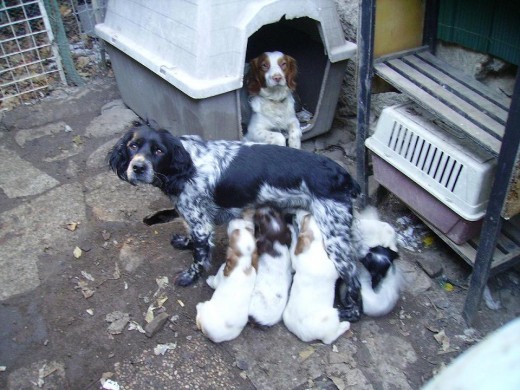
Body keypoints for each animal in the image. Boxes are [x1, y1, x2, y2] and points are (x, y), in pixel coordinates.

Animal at [107, 121, 362, 320]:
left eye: (159, 151)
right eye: (132, 146)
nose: (138, 167)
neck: (187, 167)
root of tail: (344, 175)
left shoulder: (200, 223)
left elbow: (199, 256)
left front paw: (189, 276)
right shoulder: (198, 219)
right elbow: (194, 241)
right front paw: (184, 243)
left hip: (335, 238)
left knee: (355, 278)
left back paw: (353, 313)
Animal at [282, 210, 352, 344]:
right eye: (306, 218)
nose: (296, 213)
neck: (315, 248)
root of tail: (303, 333)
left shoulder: (296, 262)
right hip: (333, 315)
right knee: (329, 339)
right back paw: (345, 325)